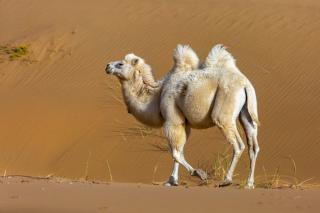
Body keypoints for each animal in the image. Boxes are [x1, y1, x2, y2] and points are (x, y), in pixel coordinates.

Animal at [105, 44, 260, 188]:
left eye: (120, 64)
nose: (107, 66)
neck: (156, 95)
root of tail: (245, 84)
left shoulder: (172, 120)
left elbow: (175, 153)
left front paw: (199, 174)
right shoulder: (184, 124)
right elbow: (179, 151)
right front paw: (172, 181)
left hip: (224, 112)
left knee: (238, 145)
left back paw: (227, 180)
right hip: (246, 114)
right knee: (253, 146)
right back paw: (249, 183)